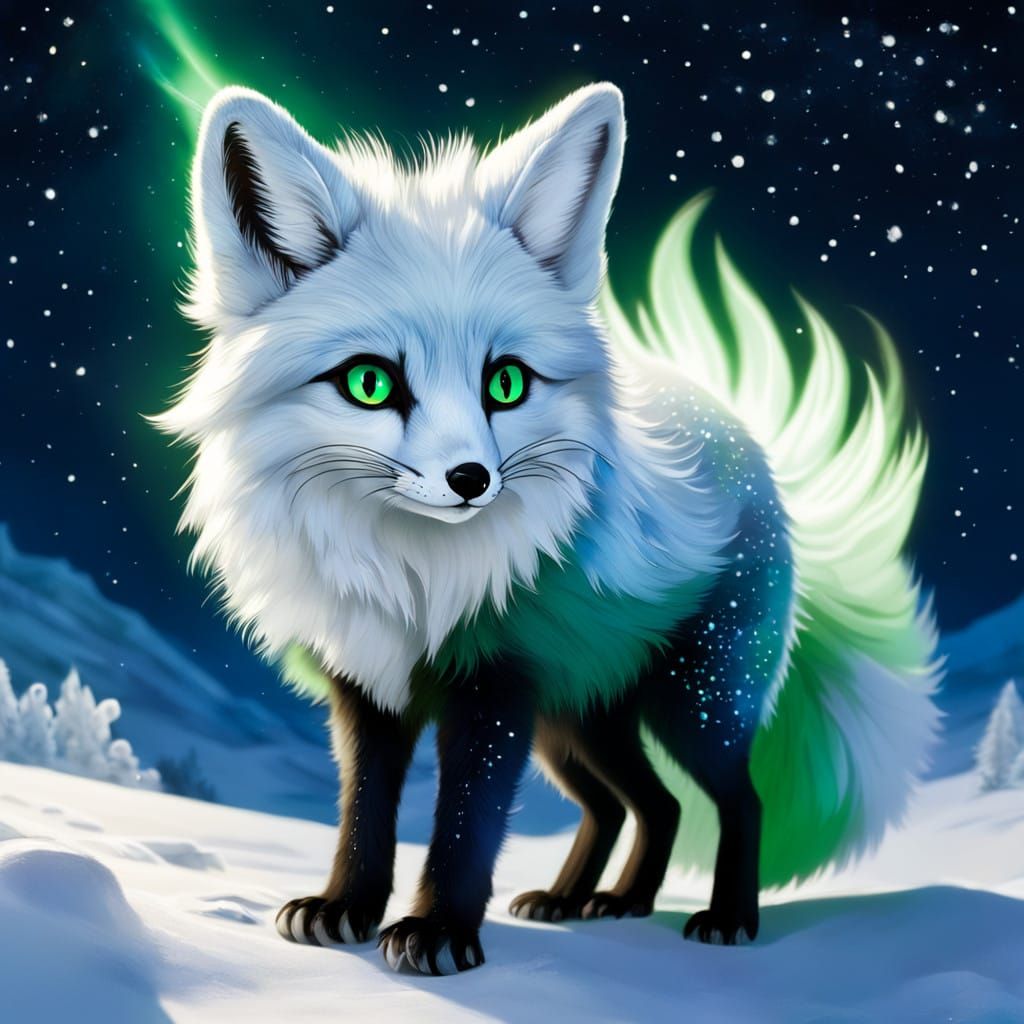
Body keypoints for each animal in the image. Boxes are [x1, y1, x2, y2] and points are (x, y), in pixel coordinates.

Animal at [154, 82, 941, 975]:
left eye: (505, 383)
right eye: (369, 383)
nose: (472, 480)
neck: (412, 579)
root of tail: (737, 430)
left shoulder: (496, 688)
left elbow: (466, 828)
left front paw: (439, 932)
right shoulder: (368, 683)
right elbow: (363, 812)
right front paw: (345, 908)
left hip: (689, 708)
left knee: (735, 799)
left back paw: (725, 919)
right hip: (576, 721)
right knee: (643, 805)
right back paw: (594, 901)